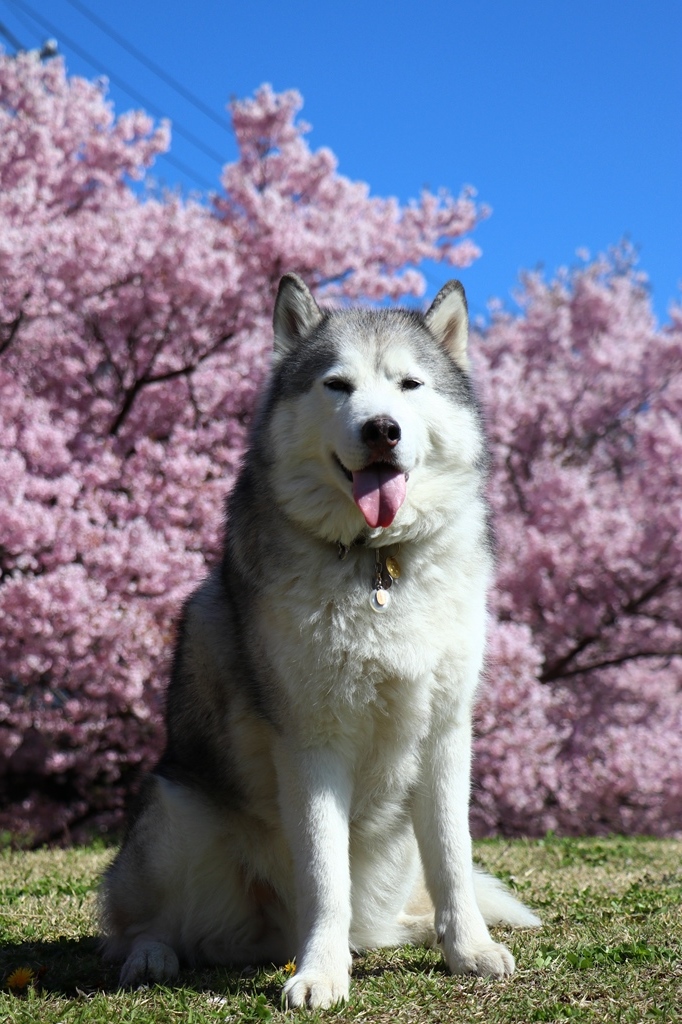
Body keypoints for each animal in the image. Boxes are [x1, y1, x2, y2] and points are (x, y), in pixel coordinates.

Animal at [100, 272, 536, 1007]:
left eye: (410, 384)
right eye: (337, 385)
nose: (382, 428)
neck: (376, 563)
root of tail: (270, 937)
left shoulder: (447, 734)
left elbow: (454, 858)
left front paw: (469, 949)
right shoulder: (312, 742)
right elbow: (325, 874)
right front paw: (322, 975)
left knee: (384, 919)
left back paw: (406, 935)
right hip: (174, 811)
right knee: (147, 922)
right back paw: (154, 956)